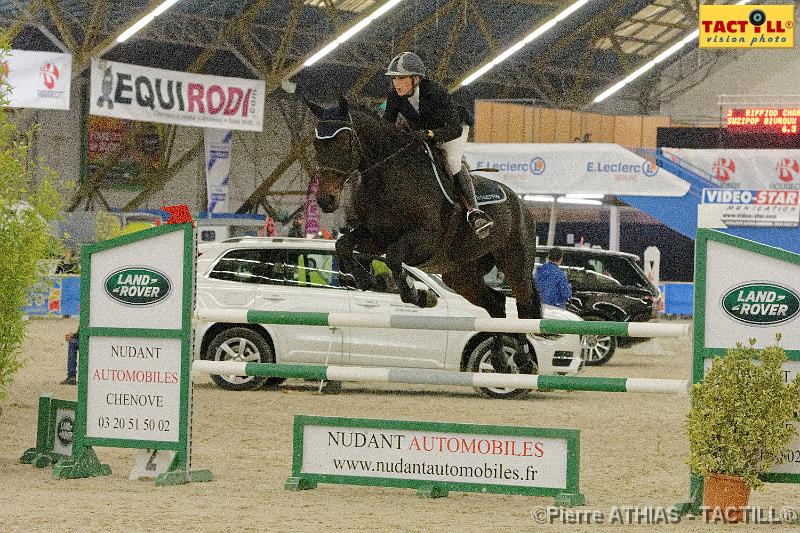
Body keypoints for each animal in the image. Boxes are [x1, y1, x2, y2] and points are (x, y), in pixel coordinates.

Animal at [306, 97, 544, 376]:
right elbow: (343, 245)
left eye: (344, 142)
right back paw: (499, 361)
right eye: (316, 144)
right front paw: (371, 281)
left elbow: (394, 256)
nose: (326, 200)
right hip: (460, 274)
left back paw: (523, 361)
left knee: (523, 304)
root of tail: (522, 204)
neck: (387, 176)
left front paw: (419, 295)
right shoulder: (375, 235)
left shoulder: (424, 239)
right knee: (496, 304)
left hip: (514, 262)